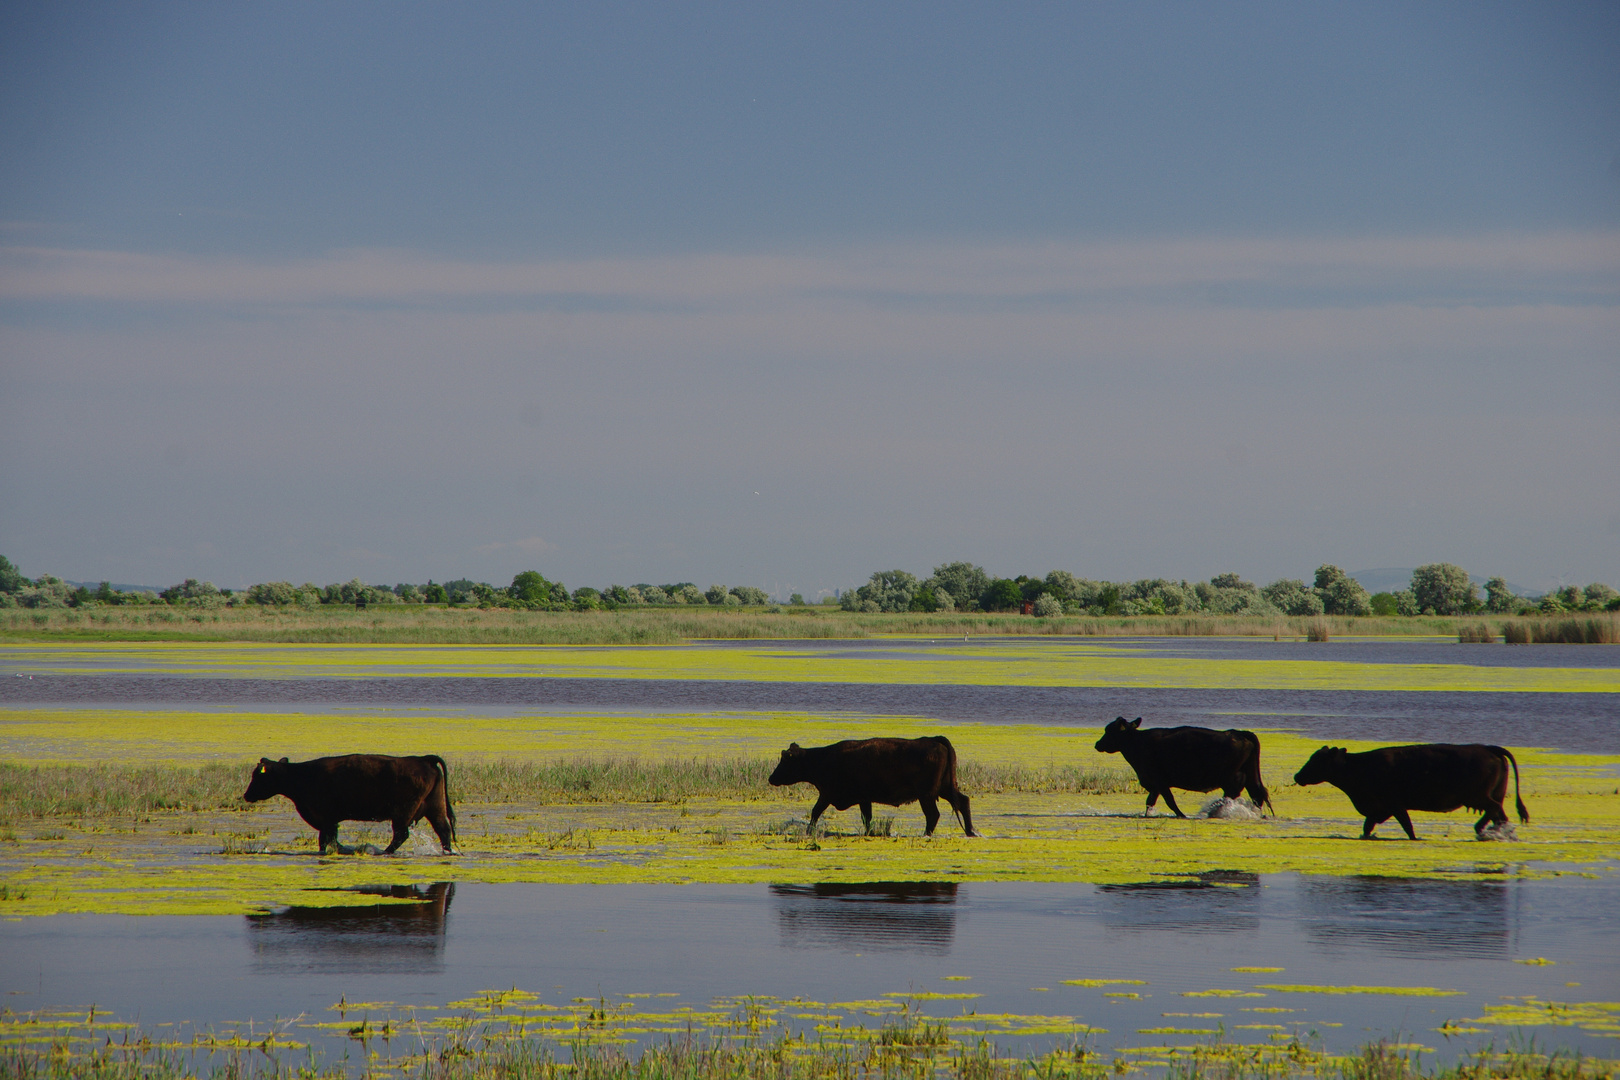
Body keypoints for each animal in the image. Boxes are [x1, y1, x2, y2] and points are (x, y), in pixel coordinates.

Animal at [243, 757, 456, 854]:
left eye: (257, 776)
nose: (246, 795)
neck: (302, 776)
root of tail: (422, 759)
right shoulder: (329, 820)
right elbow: (330, 840)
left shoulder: (326, 818)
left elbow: (326, 840)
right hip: (435, 808)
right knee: (443, 830)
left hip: (403, 813)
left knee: (401, 835)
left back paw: (382, 852)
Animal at [767, 738, 978, 841]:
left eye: (785, 760)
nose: (771, 778)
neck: (822, 759)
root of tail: (935, 741)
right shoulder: (864, 798)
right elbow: (866, 818)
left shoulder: (827, 794)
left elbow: (815, 811)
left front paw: (809, 831)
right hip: (944, 788)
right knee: (963, 801)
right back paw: (971, 831)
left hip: (926, 795)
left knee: (933, 814)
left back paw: (926, 834)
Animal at [1095, 718, 1270, 819]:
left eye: (1109, 730)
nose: (1097, 744)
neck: (1137, 742)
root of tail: (1238, 733)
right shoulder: (1155, 784)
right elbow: (1150, 801)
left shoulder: (1159, 781)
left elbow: (1169, 801)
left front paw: (1182, 815)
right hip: (1250, 774)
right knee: (1256, 793)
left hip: (1230, 777)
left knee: (1232, 793)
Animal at [1289, 744, 1529, 841]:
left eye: (1316, 760)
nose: (1297, 776)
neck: (1360, 767)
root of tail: (1487, 748)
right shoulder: (1378, 809)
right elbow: (1368, 827)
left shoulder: (1394, 805)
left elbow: (1407, 826)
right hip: (1492, 794)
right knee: (1499, 815)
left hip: (1480, 796)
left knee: (1495, 810)